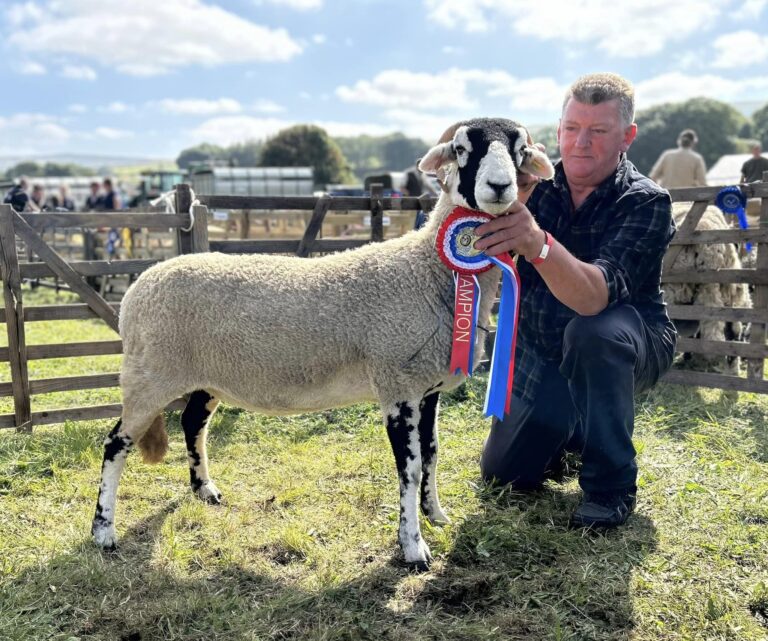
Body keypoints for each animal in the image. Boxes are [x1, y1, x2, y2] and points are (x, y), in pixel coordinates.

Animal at [93, 117, 556, 568]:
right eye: (461, 149)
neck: (428, 268)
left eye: (519, 152)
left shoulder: (427, 389)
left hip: (205, 375)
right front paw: (413, 548)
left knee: (192, 423)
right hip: (149, 374)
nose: (500, 186)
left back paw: (205, 490)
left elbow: (432, 454)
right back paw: (103, 531)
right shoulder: (397, 385)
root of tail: (136, 290)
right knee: (116, 443)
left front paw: (436, 515)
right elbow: (410, 469)